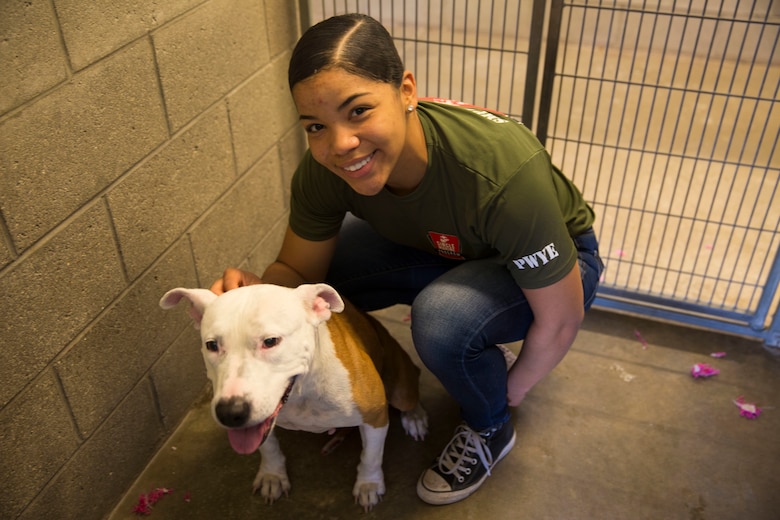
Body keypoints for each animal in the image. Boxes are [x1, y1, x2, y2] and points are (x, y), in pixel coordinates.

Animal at [158, 282, 426, 510]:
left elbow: (371, 455)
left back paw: (415, 417)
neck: (302, 393)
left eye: (270, 341)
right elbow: (268, 446)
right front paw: (272, 475)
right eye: (212, 345)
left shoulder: (375, 414)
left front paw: (368, 484)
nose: (230, 413)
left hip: (400, 388)